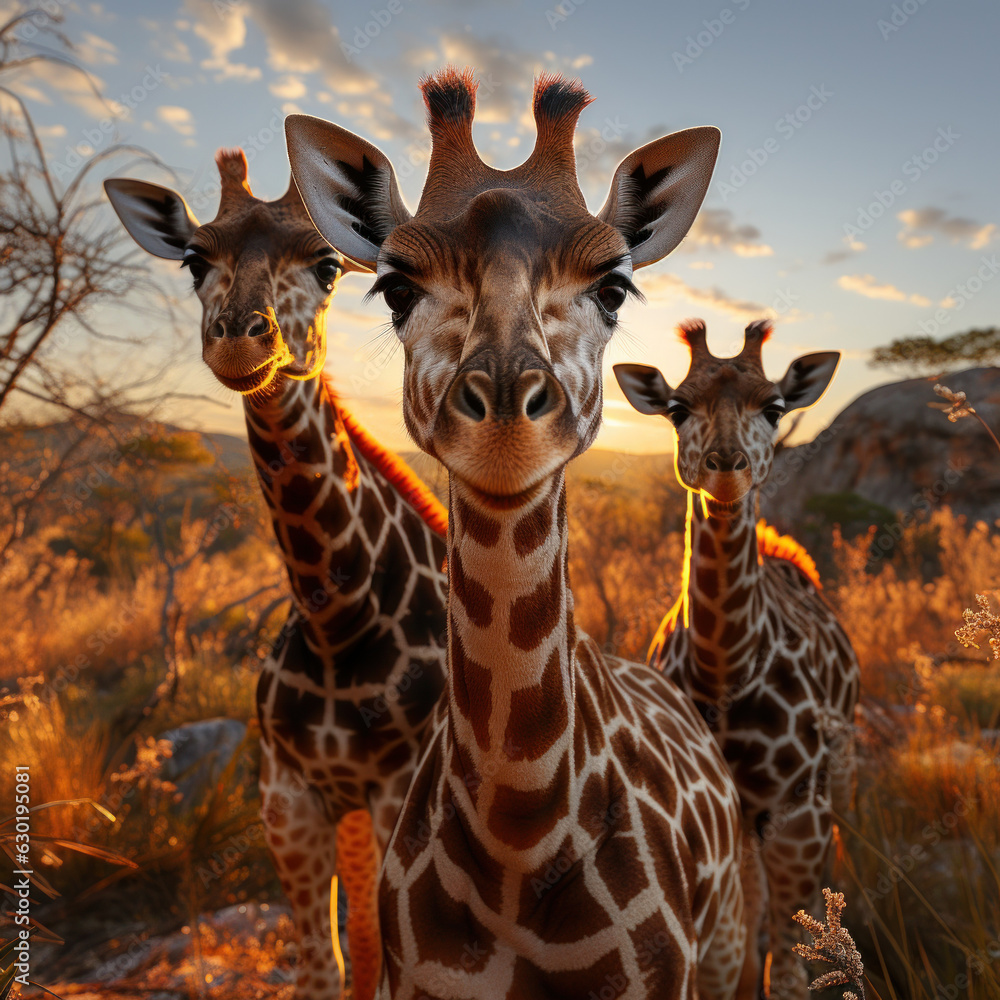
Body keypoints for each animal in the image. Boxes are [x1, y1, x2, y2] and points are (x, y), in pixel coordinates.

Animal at [104, 150, 450, 1000]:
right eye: (195, 260)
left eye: (326, 265)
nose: (239, 342)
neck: (338, 616)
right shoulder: (288, 794)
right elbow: (327, 967)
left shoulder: (400, 791)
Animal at [614, 319, 861, 999]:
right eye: (677, 408)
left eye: (773, 406)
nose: (726, 467)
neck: (725, 667)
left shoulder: (798, 811)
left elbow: (790, 968)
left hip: (836, 778)